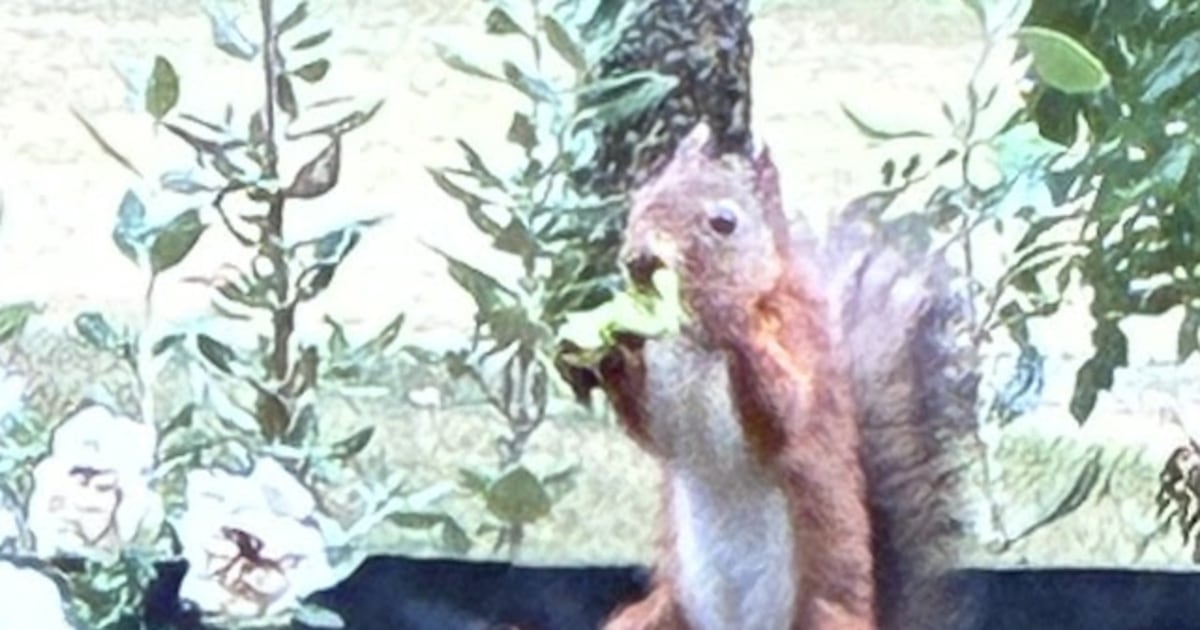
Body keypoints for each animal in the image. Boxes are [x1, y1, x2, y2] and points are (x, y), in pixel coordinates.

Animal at [558, 122, 982, 630]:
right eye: (639, 203)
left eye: (724, 223)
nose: (640, 260)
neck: (694, 341)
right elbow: (655, 428)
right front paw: (602, 355)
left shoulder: (801, 340)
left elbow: (785, 409)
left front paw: (728, 314)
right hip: (663, 612)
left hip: (824, 616)